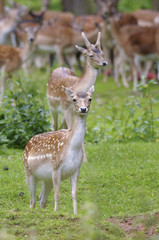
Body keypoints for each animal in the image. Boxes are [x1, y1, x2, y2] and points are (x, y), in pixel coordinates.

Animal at [23, 86, 94, 216]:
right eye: (74, 99)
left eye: (90, 98)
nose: (83, 109)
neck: (72, 148)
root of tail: (27, 144)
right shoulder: (56, 167)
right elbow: (57, 194)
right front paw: (56, 212)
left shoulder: (76, 168)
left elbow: (74, 193)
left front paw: (76, 213)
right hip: (29, 171)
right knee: (32, 199)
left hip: (47, 179)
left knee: (42, 199)